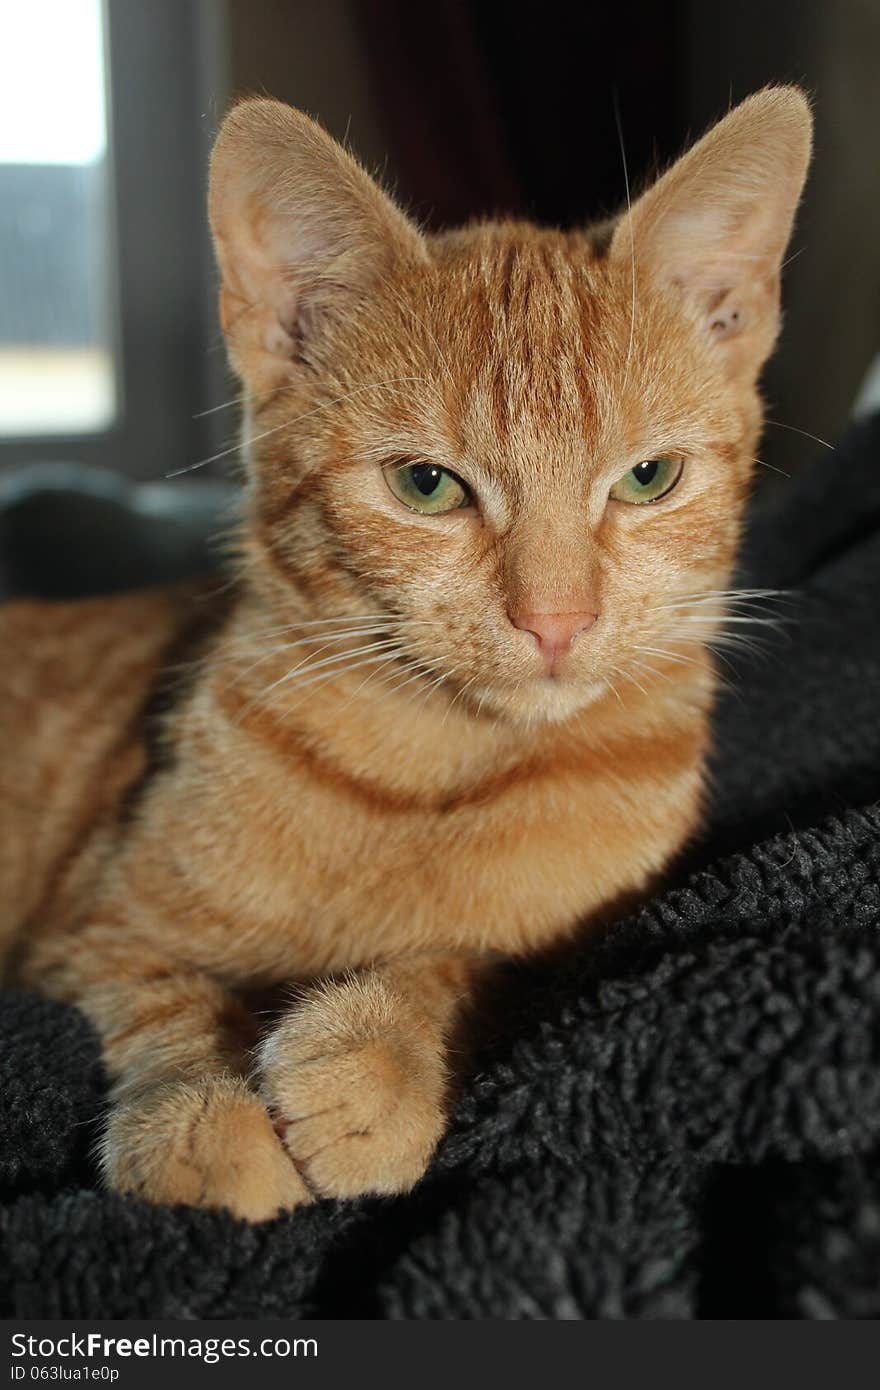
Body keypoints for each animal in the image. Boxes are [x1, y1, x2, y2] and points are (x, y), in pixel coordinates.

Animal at [0, 89, 811, 1217]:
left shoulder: (566, 943)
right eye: (426, 486)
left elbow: (469, 961)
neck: (432, 768)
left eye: (648, 478)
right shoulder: (90, 929)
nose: (555, 619)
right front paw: (199, 1111)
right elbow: (165, 997)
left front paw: (373, 1049)